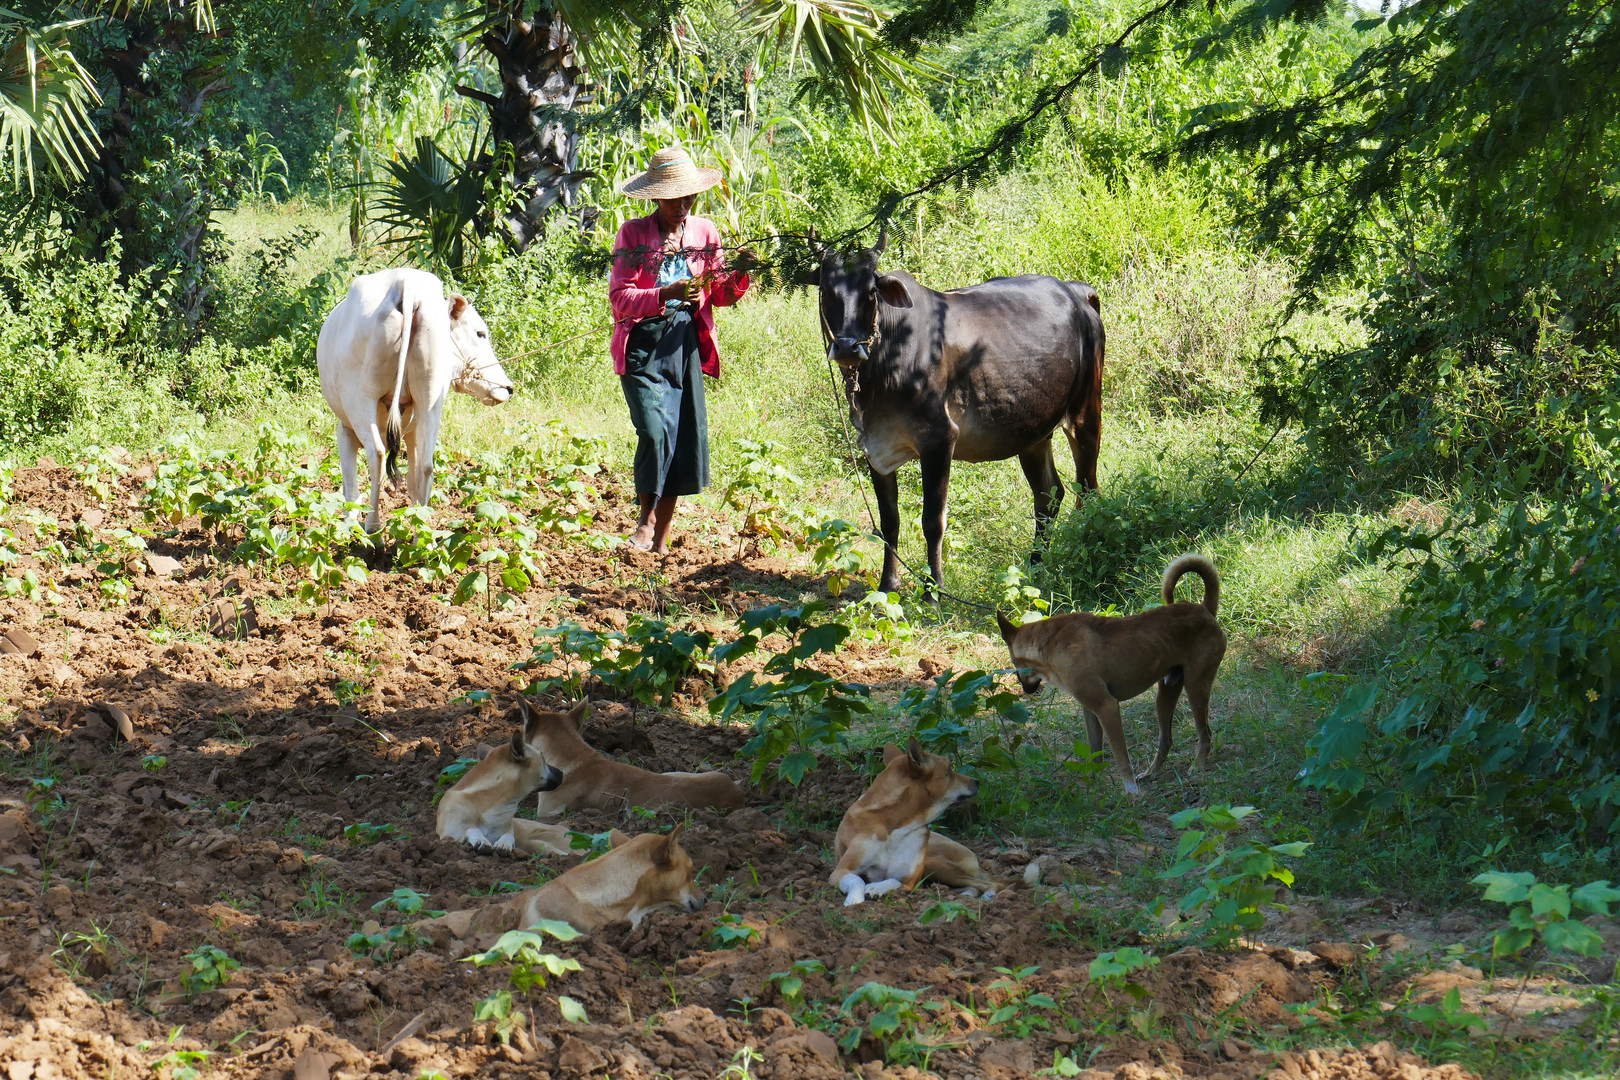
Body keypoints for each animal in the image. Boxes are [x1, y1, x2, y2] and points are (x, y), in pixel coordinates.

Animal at [315, 265, 511, 527]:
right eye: (480, 333)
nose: (508, 388)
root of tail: (405, 284)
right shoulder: (411, 432)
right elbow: (413, 480)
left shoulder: (345, 429)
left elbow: (351, 489)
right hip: (430, 401)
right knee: (426, 466)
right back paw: (422, 530)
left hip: (361, 399)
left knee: (377, 454)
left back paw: (373, 527)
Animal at [816, 231, 1108, 595]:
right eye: (826, 290)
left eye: (871, 291)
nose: (846, 347)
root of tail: (1076, 291)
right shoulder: (876, 447)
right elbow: (888, 522)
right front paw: (887, 588)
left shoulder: (940, 439)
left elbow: (932, 521)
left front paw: (933, 591)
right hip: (1032, 431)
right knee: (1048, 497)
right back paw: (1034, 571)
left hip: (1085, 414)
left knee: (1089, 491)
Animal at [991, 553, 1218, 799]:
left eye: (1015, 664)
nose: (1025, 690)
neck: (1052, 643)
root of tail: (1205, 610)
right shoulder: (1090, 711)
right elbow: (1094, 755)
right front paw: (1093, 789)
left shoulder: (1107, 707)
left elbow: (1121, 758)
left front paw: (1131, 792)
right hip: (1165, 695)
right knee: (1166, 740)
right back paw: (1151, 773)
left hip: (1196, 688)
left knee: (1206, 734)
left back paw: (1197, 766)